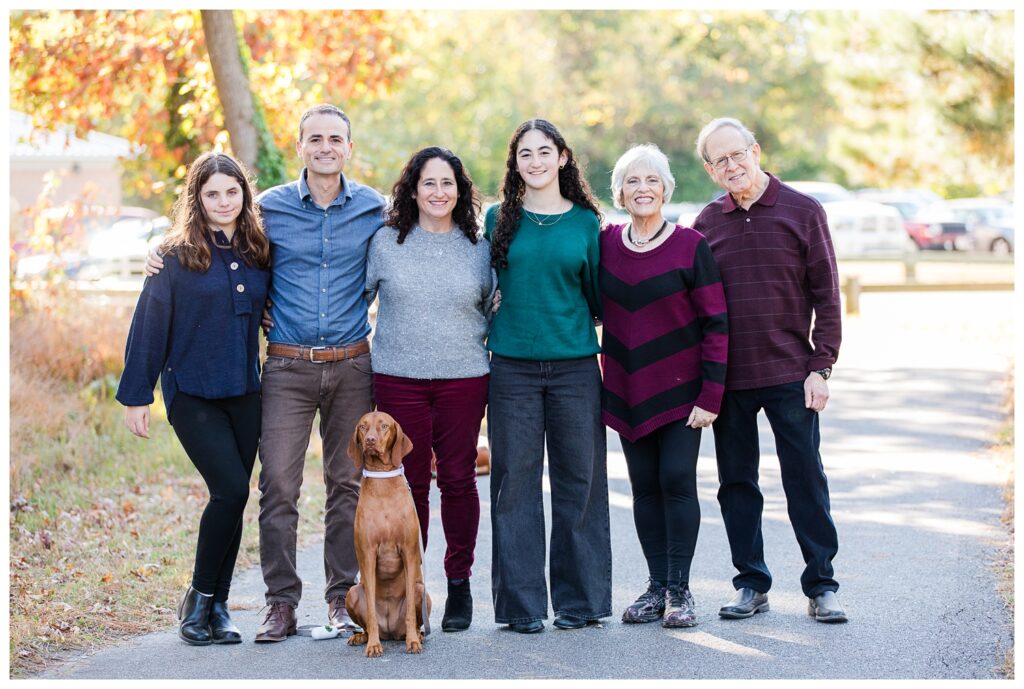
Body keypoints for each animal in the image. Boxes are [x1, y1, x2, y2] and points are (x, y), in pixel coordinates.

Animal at [342, 411, 425, 651]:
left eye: (385, 426)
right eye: (362, 426)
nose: (370, 440)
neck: (382, 484)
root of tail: (391, 632)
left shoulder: (409, 552)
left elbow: (410, 611)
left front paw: (413, 642)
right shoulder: (368, 554)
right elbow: (370, 610)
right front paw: (373, 646)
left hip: (421, 590)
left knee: (414, 618)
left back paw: (417, 635)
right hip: (352, 592)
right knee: (369, 624)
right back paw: (362, 637)